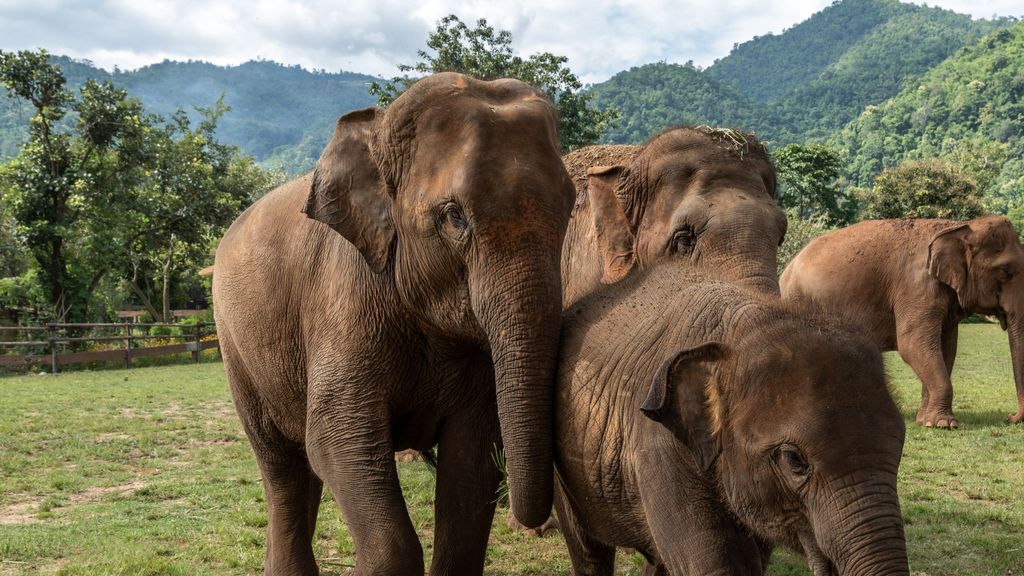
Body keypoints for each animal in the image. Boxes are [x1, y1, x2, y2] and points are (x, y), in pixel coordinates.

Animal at [209, 72, 577, 573]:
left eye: (571, 204)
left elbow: (472, 461)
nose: (540, 523)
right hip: (235, 347)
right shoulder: (343, 297)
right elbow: (335, 438)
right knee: (282, 464)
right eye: (454, 216)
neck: (377, 132)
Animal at [557, 264, 909, 573]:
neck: (743, 324)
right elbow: (715, 565)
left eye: (898, 448)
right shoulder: (658, 448)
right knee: (588, 549)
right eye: (794, 460)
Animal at [782, 215, 1024, 426]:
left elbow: (945, 348)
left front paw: (926, 421)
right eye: (1005, 272)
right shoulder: (916, 287)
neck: (959, 226)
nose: (1010, 417)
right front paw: (944, 424)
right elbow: (913, 345)